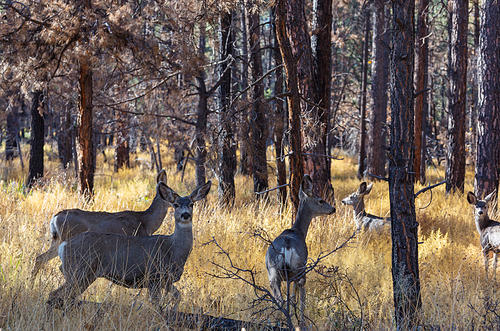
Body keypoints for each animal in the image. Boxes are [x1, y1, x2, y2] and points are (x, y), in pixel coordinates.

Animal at [46, 179, 212, 312]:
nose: (185, 215)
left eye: (191, 204)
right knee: (54, 295)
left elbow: (178, 296)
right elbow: (155, 304)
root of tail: (64, 246)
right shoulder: (153, 276)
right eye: (176, 205)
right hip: (80, 271)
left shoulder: (167, 280)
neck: (173, 250)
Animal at [266, 175, 336, 330]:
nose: (333, 208)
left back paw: (276, 323)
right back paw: (300, 323)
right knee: (301, 296)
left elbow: (291, 297)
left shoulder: (289, 277)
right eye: (320, 200)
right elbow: (297, 297)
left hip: (273, 272)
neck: (298, 231)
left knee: (279, 299)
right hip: (300, 268)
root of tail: (286, 248)